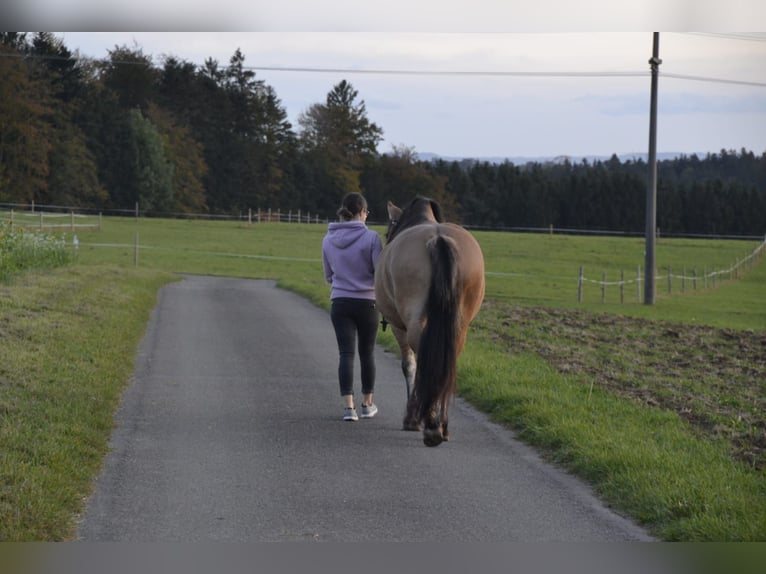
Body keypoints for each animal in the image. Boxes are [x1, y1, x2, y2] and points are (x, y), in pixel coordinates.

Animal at [376, 196, 486, 448]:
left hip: (412, 323)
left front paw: (411, 418)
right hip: (458, 326)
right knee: (447, 361)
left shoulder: (399, 327)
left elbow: (410, 366)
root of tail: (439, 239)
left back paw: (431, 424)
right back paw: (441, 425)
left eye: (388, 232)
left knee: (426, 360)